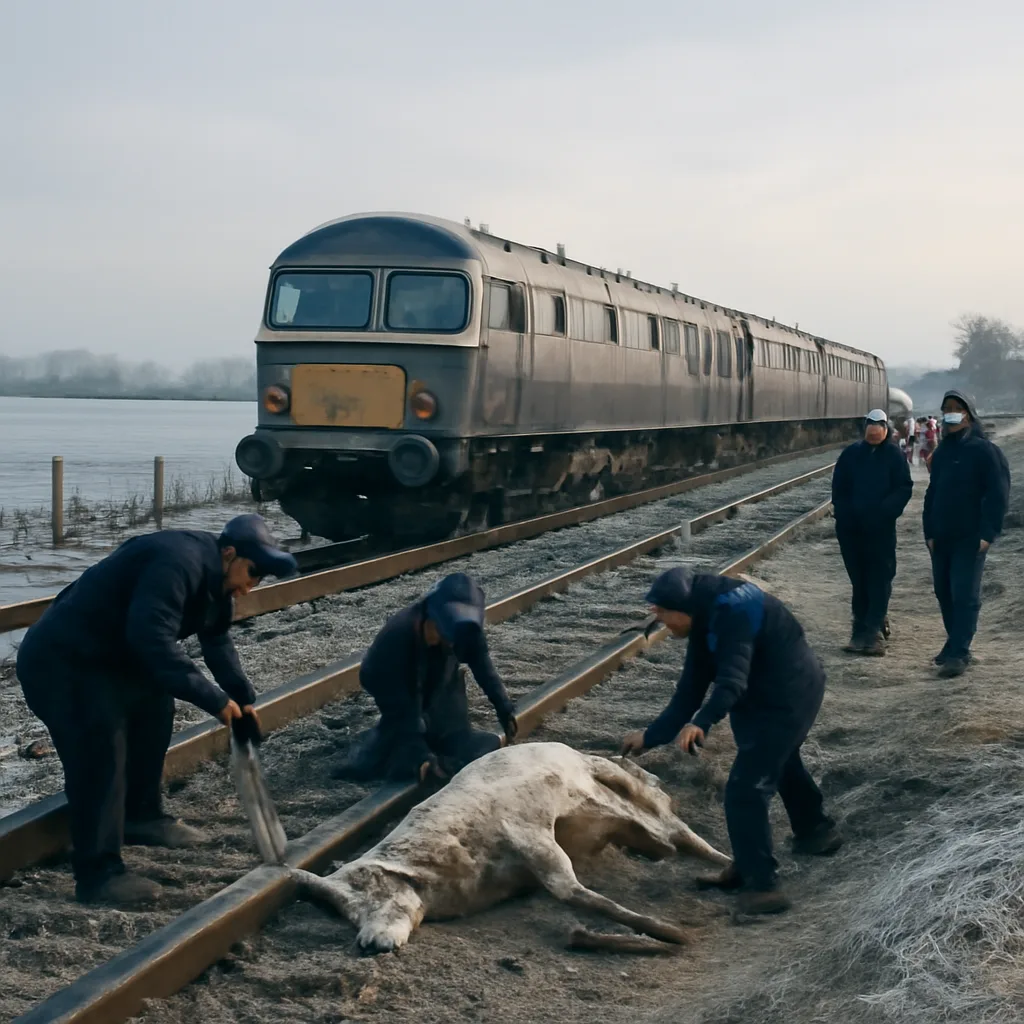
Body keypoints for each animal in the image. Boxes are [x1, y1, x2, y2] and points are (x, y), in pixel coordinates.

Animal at [288, 742, 731, 953]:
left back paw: (726, 865)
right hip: (635, 826)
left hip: (620, 788)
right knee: (665, 840)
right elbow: (568, 891)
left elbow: (571, 891)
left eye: (376, 896)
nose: (367, 946)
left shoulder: (527, 830)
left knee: (676, 826)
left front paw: (674, 935)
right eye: (347, 915)